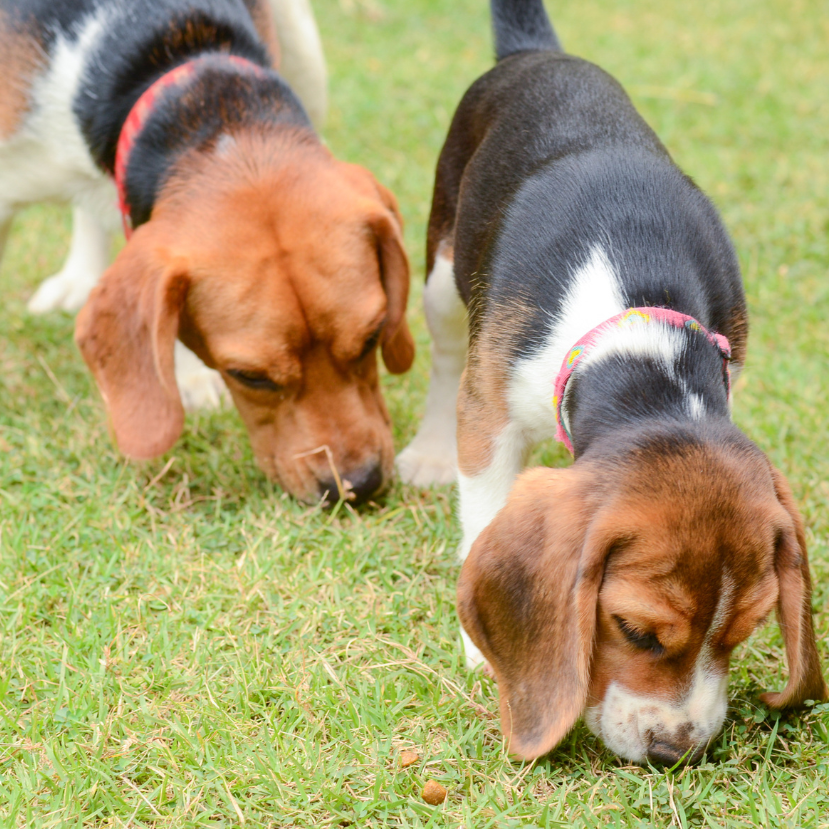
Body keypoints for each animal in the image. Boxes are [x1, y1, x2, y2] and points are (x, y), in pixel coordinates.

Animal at [398, 0, 824, 764]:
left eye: (744, 632)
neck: (640, 347)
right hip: (443, 270)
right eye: (635, 632)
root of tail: (538, 52)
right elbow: (483, 503)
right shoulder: (490, 413)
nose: (673, 750)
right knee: (445, 356)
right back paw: (426, 451)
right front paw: (479, 645)